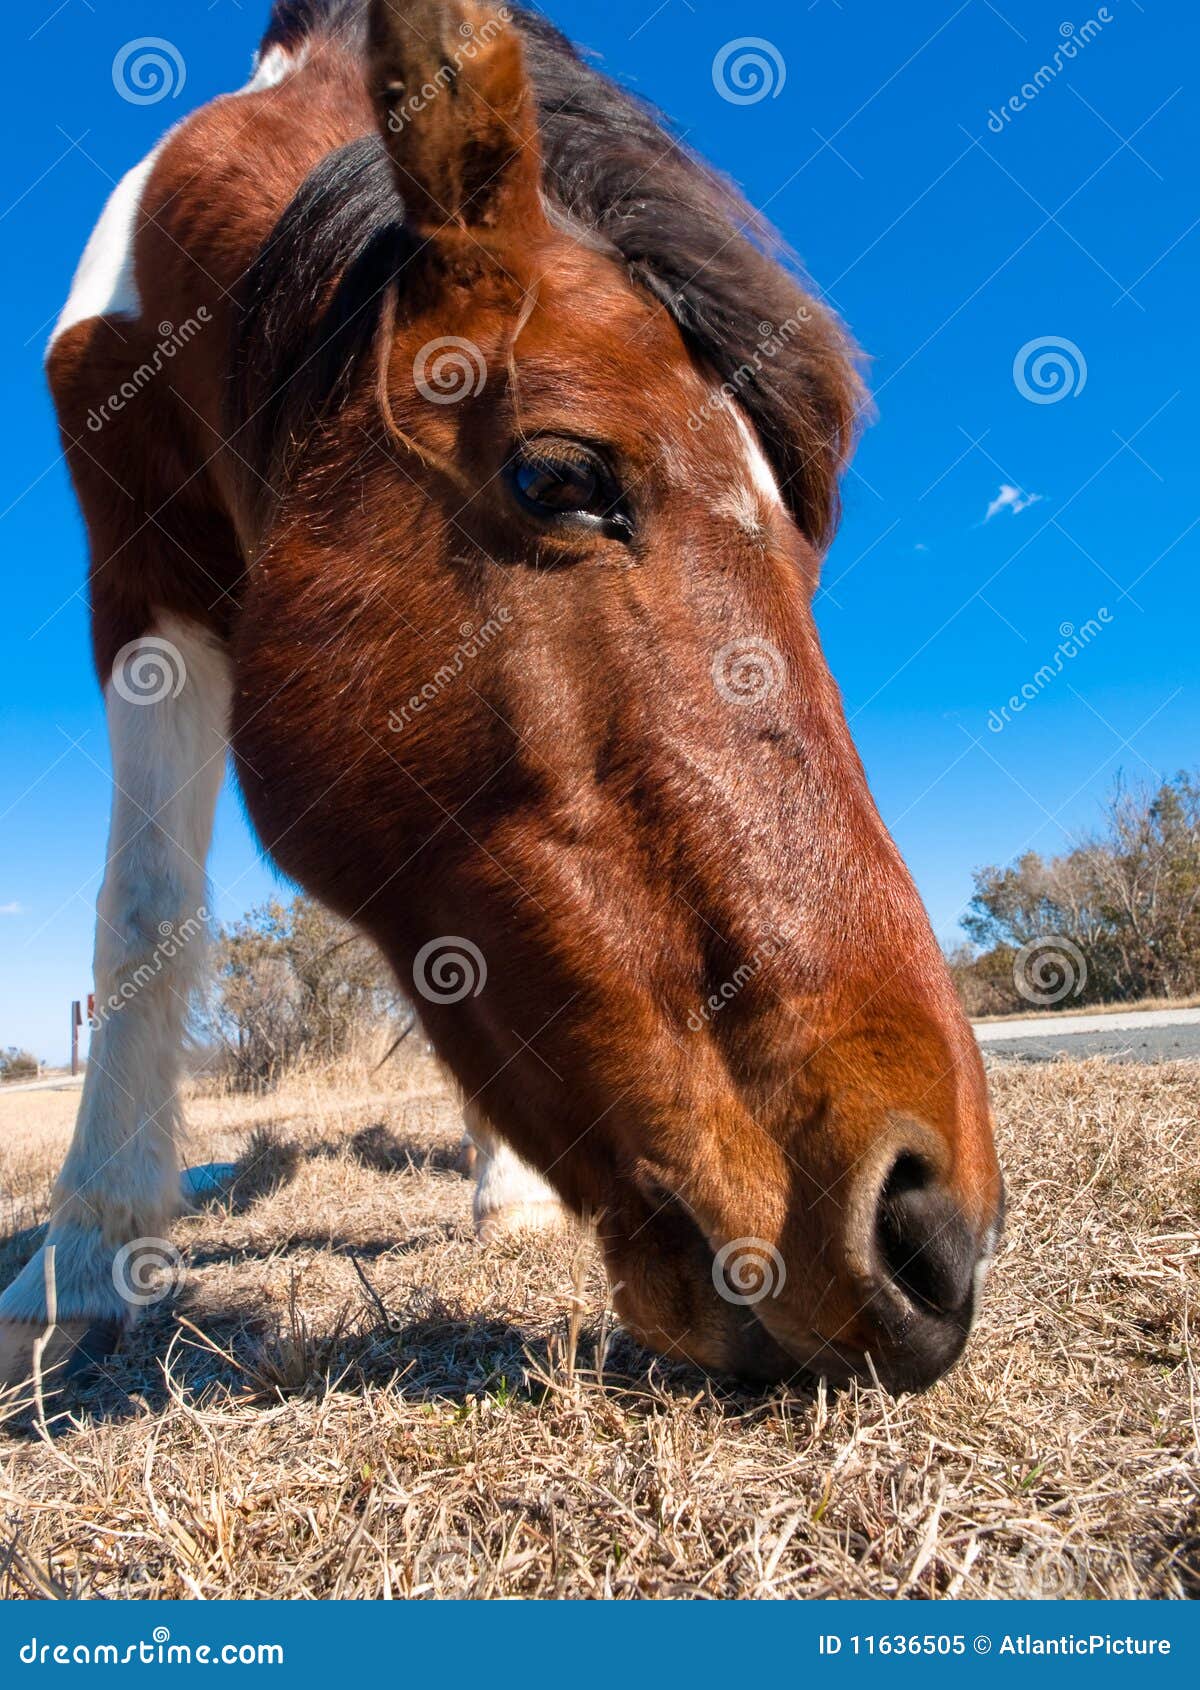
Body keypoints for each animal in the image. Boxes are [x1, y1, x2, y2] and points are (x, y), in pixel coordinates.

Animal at [0, 0, 1003, 1396]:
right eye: (561, 479)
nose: (934, 1226)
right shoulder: (138, 579)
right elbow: (142, 907)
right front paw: (79, 1260)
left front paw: (507, 1189)